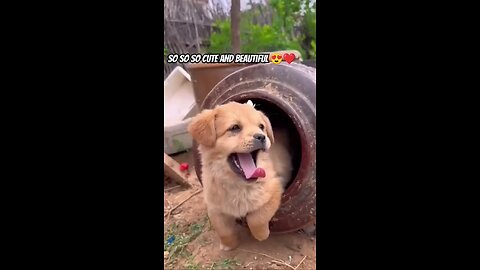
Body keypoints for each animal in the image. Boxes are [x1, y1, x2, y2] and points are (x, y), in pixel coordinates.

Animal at [188, 102, 292, 251]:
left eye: (261, 127)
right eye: (235, 128)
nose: (261, 136)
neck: (236, 185)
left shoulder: (274, 189)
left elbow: (256, 219)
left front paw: (262, 235)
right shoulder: (214, 208)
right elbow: (223, 230)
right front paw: (228, 245)